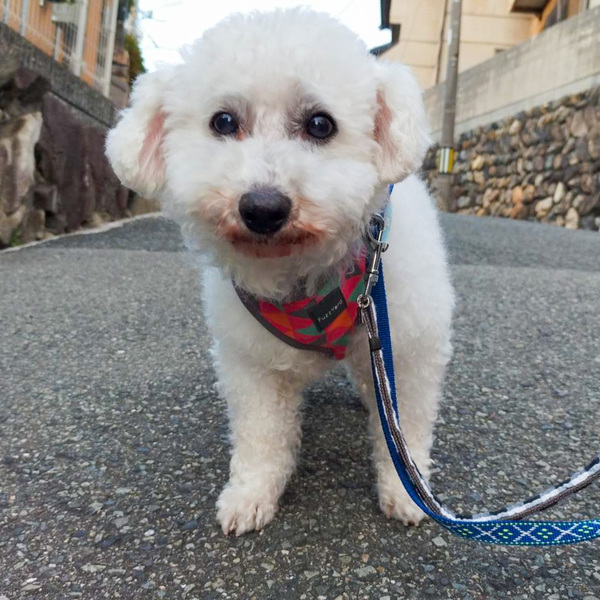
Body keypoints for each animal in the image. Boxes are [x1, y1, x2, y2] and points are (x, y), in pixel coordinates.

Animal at [106, 8, 454, 536]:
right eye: (223, 121)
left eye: (320, 124)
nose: (263, 207)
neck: (306, 276)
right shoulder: (252, 362)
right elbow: (261, 434)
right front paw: (251, 495)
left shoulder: (411, 350)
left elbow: (405, 428)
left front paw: (406, 491)